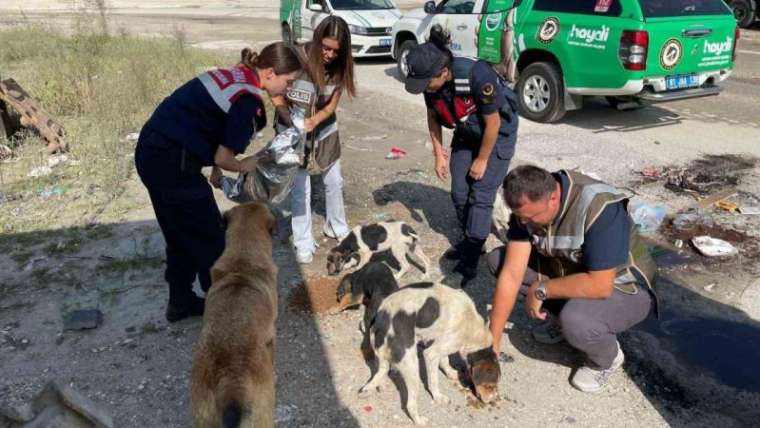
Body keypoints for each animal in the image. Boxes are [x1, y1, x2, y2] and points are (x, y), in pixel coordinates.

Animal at [360, 280, 498, 424]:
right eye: (489, 386)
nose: (492, 401)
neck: (473, 328)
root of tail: (382, 318)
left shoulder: (442, 344)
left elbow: (445, 360)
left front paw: (450, 372)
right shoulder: (432, 353)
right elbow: (433, 381)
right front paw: (438, 397)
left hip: (380, 353)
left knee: (380, 370)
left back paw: (380, 383)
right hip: (411, 366)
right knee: (410, 404)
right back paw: (419, 420)